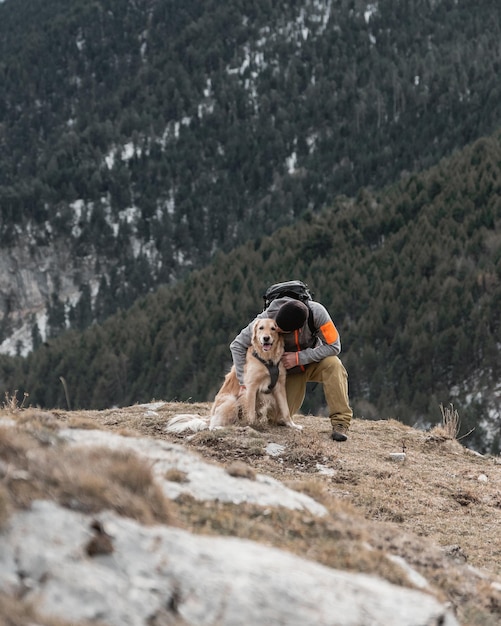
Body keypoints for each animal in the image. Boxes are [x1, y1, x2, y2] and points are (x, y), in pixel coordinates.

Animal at [167, 320, 300, 432]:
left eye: (273, 328)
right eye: (261, 328)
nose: (266, 338)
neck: (267, 359)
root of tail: (210, 416)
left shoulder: (280, 386)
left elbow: (286, 409)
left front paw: (292, 425)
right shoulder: (250, 388)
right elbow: (250, 413)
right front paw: (252, 425)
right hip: (231, 401)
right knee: (212, 426)